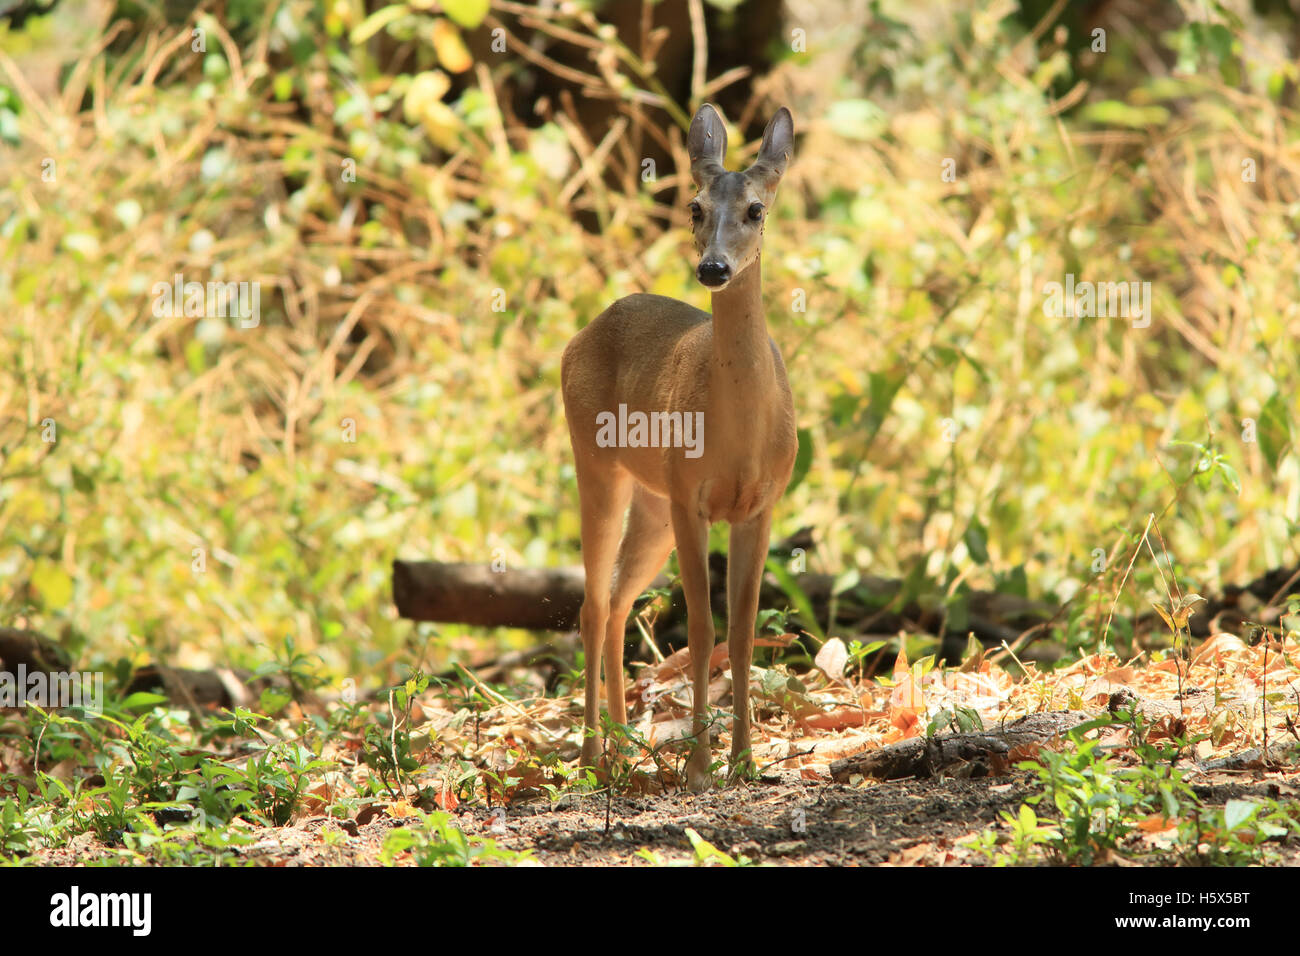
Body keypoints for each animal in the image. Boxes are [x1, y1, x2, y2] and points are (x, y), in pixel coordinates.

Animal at [564, 104, 795, 790]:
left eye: (756, 208)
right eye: (694, 206)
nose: (714, 268)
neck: (739, 435)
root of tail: (578, 337)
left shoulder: (760, 505)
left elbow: (741, 631)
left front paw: (744, 762)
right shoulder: (691, 498)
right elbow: (700, 625)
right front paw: (697, 767)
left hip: (651, 502)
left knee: (618, 602)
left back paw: (623, 748)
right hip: (597, 465)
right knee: (592, 604)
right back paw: (591, 757)